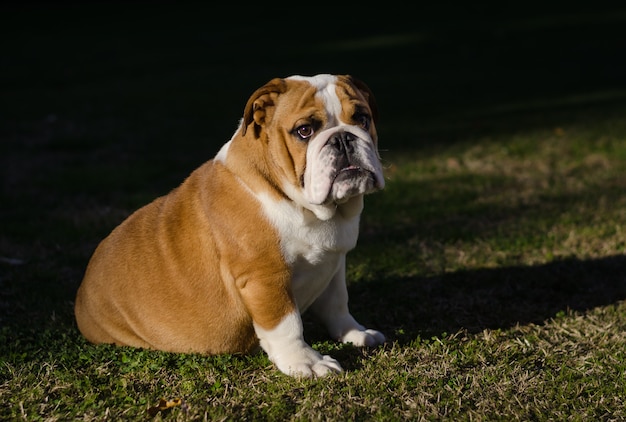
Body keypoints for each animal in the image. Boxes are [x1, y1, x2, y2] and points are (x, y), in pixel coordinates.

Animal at [74, 73, 386, 376]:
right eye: (304, 130)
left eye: (362, 118)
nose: (343, 138)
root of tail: (81, 296)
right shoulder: (264, 276)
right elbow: (286, 323)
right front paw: (306, 362)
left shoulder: (334, 262)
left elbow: (338, 303)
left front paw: (355, 333)